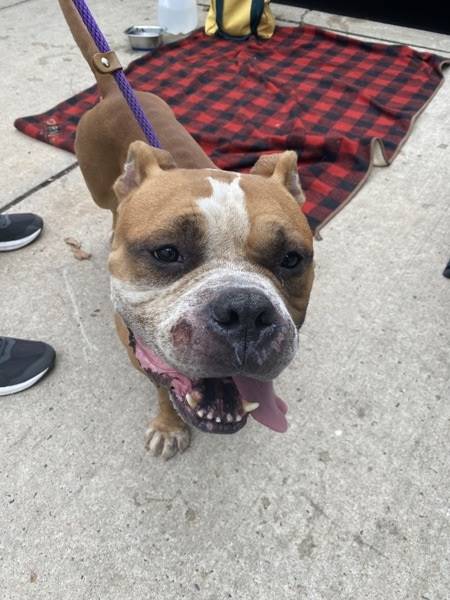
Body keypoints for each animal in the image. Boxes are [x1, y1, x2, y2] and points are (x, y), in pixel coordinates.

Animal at [59, 0, 312, 460]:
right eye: (166, 252)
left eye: (291, 259)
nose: (246, 311)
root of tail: (114, 90)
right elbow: (161, 385)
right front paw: (168, 425)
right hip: (98, 187)